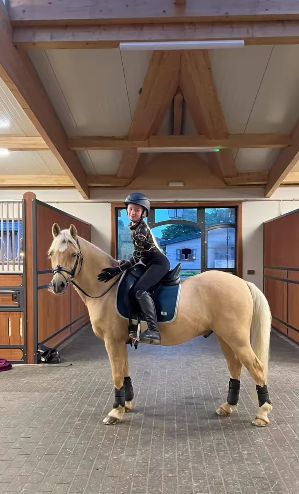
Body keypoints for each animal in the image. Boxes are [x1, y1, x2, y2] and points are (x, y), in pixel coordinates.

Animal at [48, 226, 274, 426]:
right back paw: (228, 407)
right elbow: (125, 371)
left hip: (236, 339)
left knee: (256, 367)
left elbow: (117, 374)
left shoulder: (112, 341)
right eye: (51, 253)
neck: (108, 289)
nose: (57, 285)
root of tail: (242, 283)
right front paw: (126, 405)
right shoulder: (121, 342)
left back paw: (262, 413)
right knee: (235, 367)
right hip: (225, 338)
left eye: (74, 254)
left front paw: (115, 412)